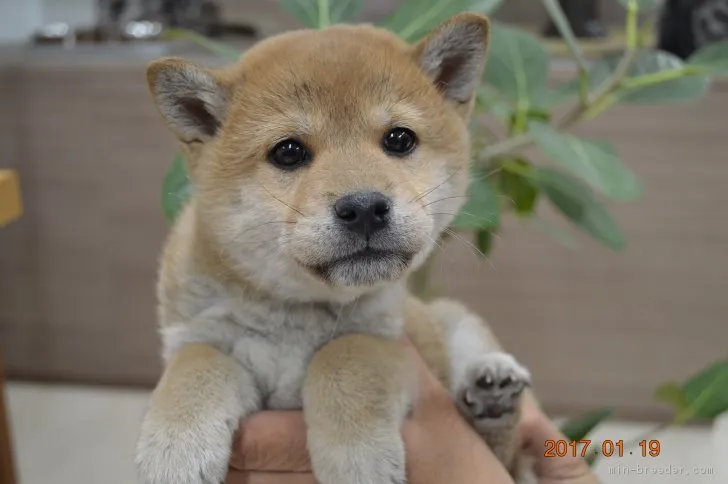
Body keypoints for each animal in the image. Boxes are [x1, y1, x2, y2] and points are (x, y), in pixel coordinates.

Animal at [135, 11, 536, 484]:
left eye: (399, 139)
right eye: (288, 151)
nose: (364, 208)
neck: (294, 314)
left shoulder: (387, 340)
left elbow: (343, 356)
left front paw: (356, 455)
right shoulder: (199, 337)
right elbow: (195, 364)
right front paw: (174, 450)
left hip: (451, 319)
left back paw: (491, 382)